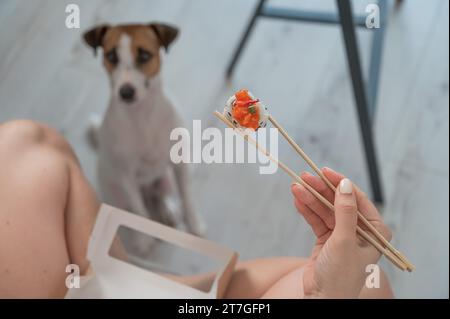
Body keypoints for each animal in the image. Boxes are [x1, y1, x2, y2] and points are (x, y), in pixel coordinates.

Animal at [83, 23, 207, 245]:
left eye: (144, 55)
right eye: (112, 56)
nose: (126, 92)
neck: (141, 115)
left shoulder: (181, 165)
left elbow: (187, 197)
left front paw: (195, 225)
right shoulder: (127, 177)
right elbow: (139, 211)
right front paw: (144, 241)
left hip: (165, 179)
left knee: (160, 196)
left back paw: (168, 210)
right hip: (117, 192)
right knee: (133, 207)